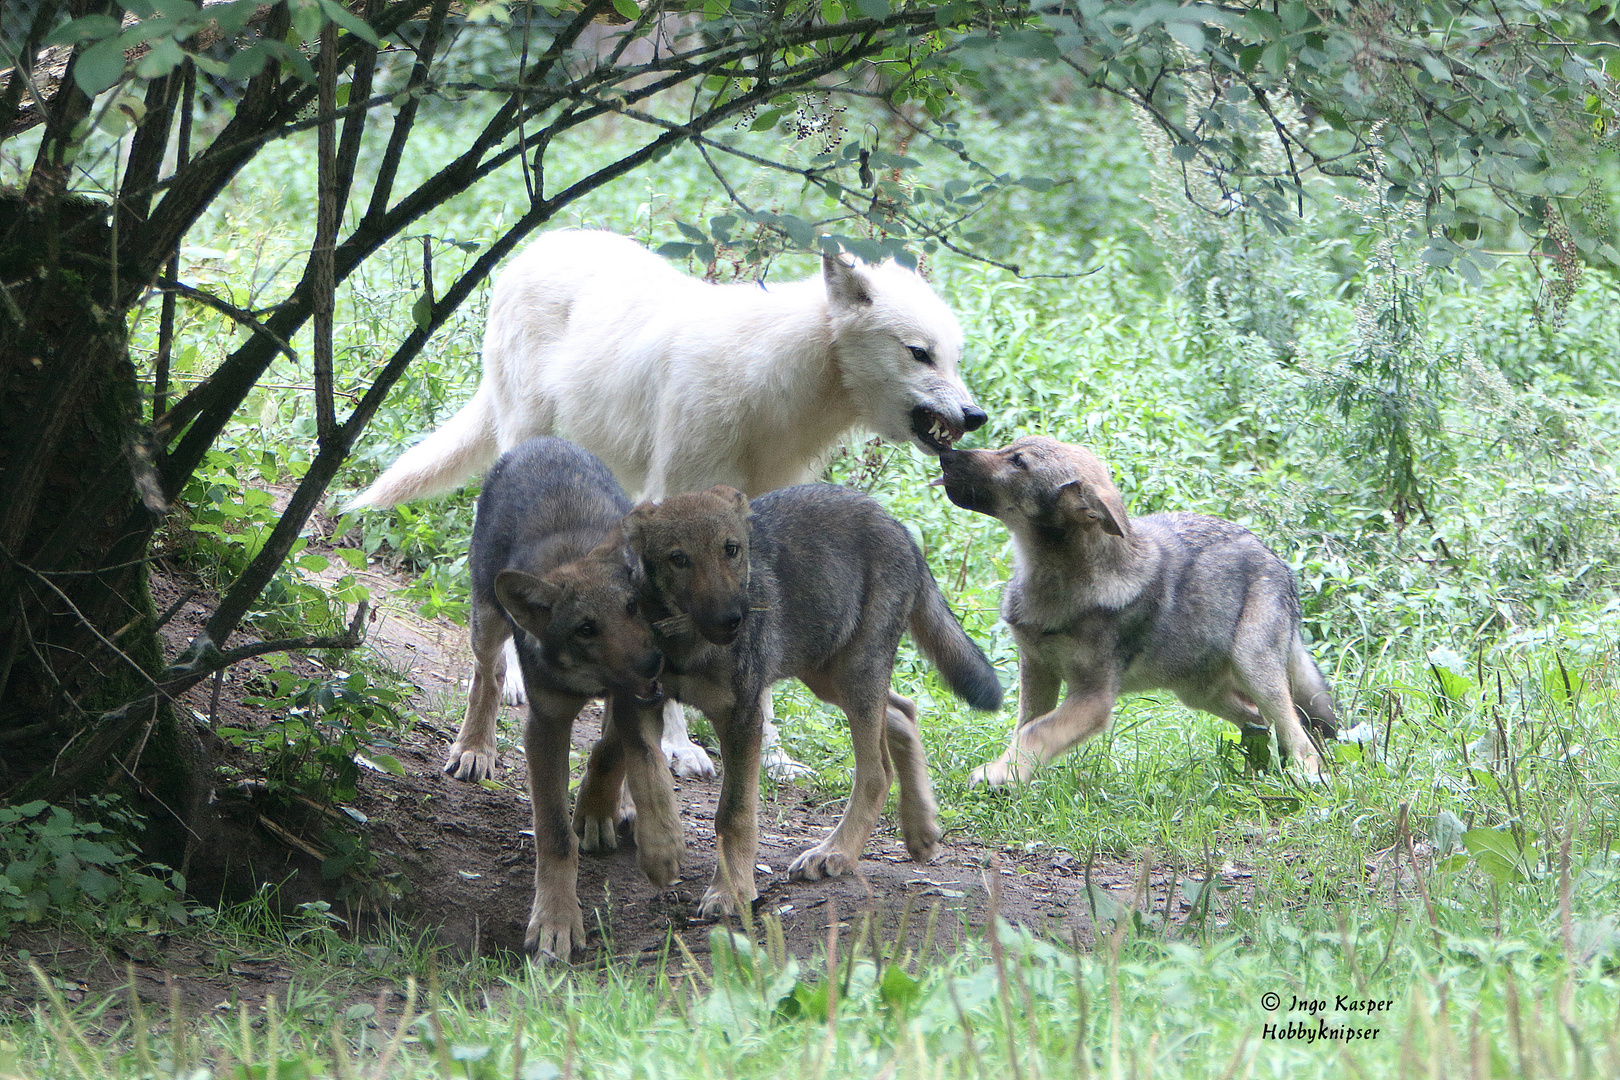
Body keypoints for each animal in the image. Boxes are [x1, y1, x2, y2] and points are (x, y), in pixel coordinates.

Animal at [354, 233, 984, 780]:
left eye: (955, 358)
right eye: (919, 354)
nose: (976, 416)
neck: (772, 384)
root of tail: (545, 241)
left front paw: (776, 758)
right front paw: (679, 747)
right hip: (523, 437)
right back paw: (508, 677)